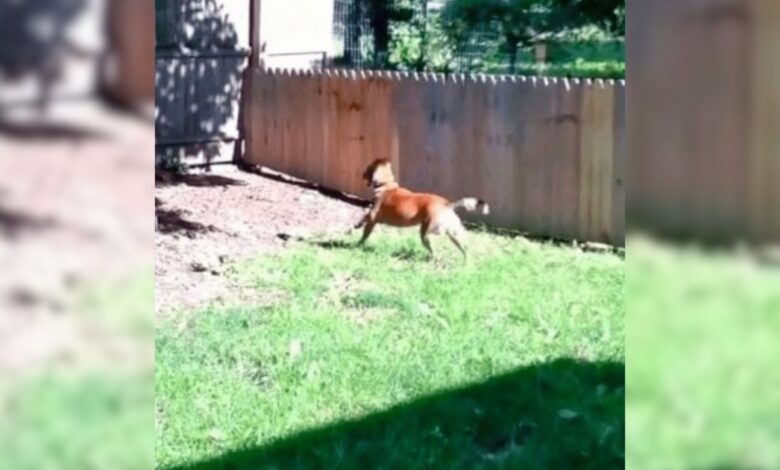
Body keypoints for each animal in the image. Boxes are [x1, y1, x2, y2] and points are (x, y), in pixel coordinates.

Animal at [354, 160, 488, 258]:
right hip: (453, 233)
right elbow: (364, 218)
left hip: (428, 232)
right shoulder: (375, 218)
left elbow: (365, 228)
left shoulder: (373, 217)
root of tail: (446, 205)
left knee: (433, 249)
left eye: (368, 169)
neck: (387, 186)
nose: (362, 174)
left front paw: (358, 242)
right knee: (464, 249)